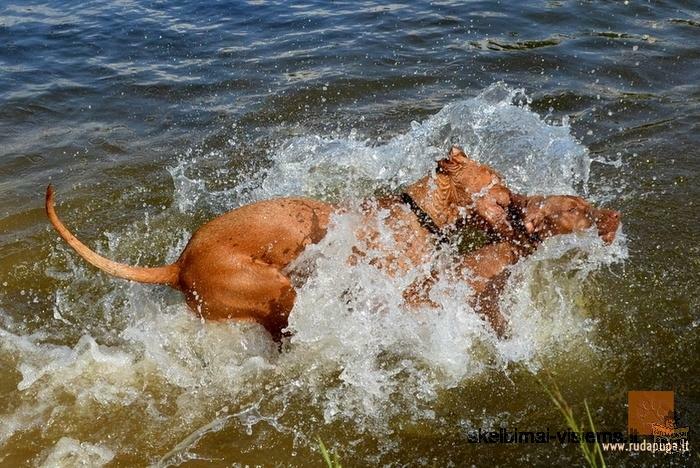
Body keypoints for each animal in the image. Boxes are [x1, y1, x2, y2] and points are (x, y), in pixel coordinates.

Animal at [46, 145, 620, 336]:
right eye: (500, 188)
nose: (525, 207)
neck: (415, 216)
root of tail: (178, 264)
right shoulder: (399, 284)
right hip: (275, 289)